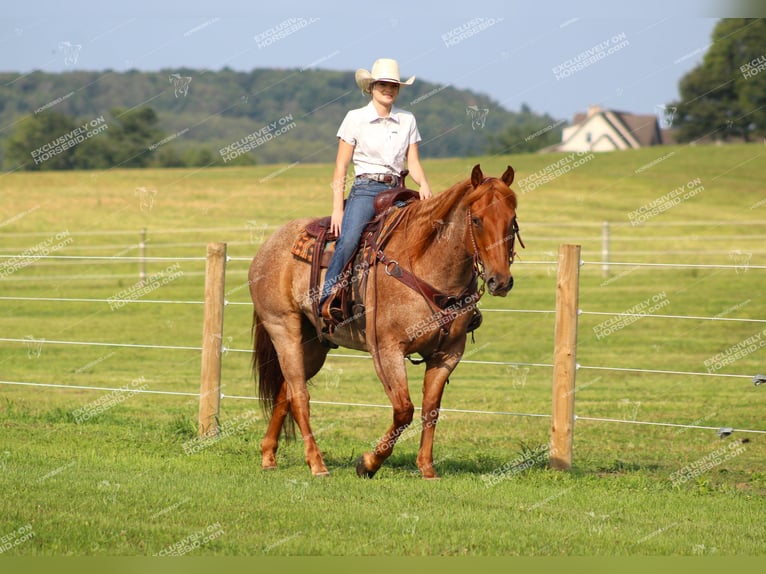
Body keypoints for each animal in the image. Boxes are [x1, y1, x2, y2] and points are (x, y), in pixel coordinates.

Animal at [250, 164, 520, 480]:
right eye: (476, 220)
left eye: (512, 221)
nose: (500, 281)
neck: (425, 263)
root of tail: (269, 245)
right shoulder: (387, 350)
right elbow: (404, 409)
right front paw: (368, 462)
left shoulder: (448, 353)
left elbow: (431, 408)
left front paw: (427, 468)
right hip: (284, 330)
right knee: (300, 396)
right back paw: (317, 464)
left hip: (314, 345)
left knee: (287, 391)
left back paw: (268, 456)